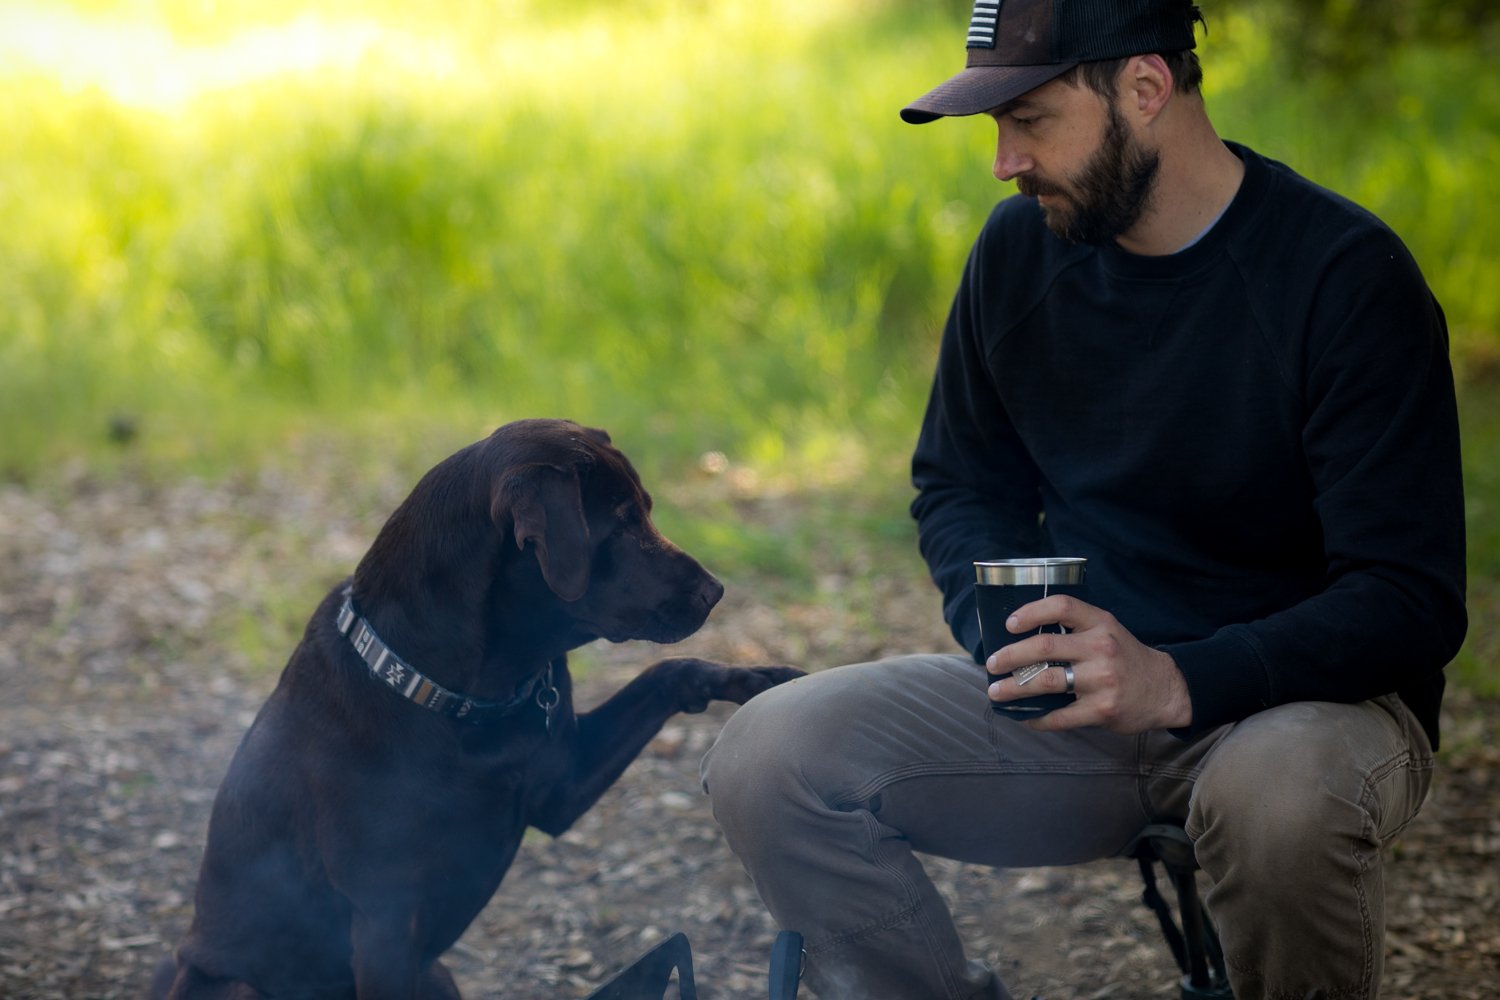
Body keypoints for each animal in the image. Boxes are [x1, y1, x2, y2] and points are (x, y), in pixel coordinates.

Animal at [152, 419, 804, 1000]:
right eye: (619, 523)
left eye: (646, 509)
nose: (714, 591)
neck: (467, 692)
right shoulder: (387, 924)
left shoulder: (557, 791)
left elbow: (666, 673)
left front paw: (754, 678)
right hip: (252, 985)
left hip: (436, 975)